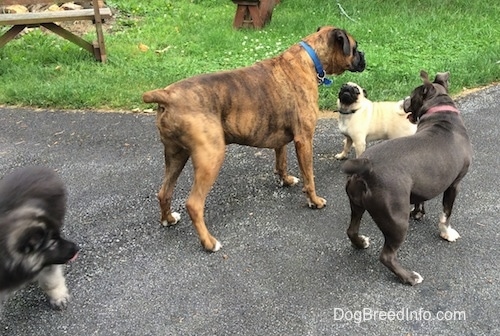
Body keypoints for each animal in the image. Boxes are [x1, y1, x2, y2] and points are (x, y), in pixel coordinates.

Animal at [0, 167, 78, 312]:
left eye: (58, 237)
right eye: (52, 243)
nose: (77, 248)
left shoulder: (48, 263)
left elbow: (50, 280)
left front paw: (58, 297)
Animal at [143, 26, 366, 251]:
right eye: (355, 47)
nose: (363, 55)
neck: (310, 59)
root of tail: (168, 95)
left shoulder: (281, 140)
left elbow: (281, 162)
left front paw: (286, 180)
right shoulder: (304, 139)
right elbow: (309, 177)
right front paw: (315, 201)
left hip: (176, 155)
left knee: (164, 192)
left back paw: (169, 219)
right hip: (210, 157)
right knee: (194, 204)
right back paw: (209, 243)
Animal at [340, 71, 472, 286]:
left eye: (413, 95)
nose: (404, 101)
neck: (441, 114)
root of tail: (367, 166)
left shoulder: (421, 183)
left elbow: (420, 199)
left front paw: (418, 213)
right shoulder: (454, 184)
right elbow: (446, 213)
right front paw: (447, 233)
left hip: (356, 204)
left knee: (351, 230)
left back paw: (360, 243)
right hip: (397, 220)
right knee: (386, 256)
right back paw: (410, 277)